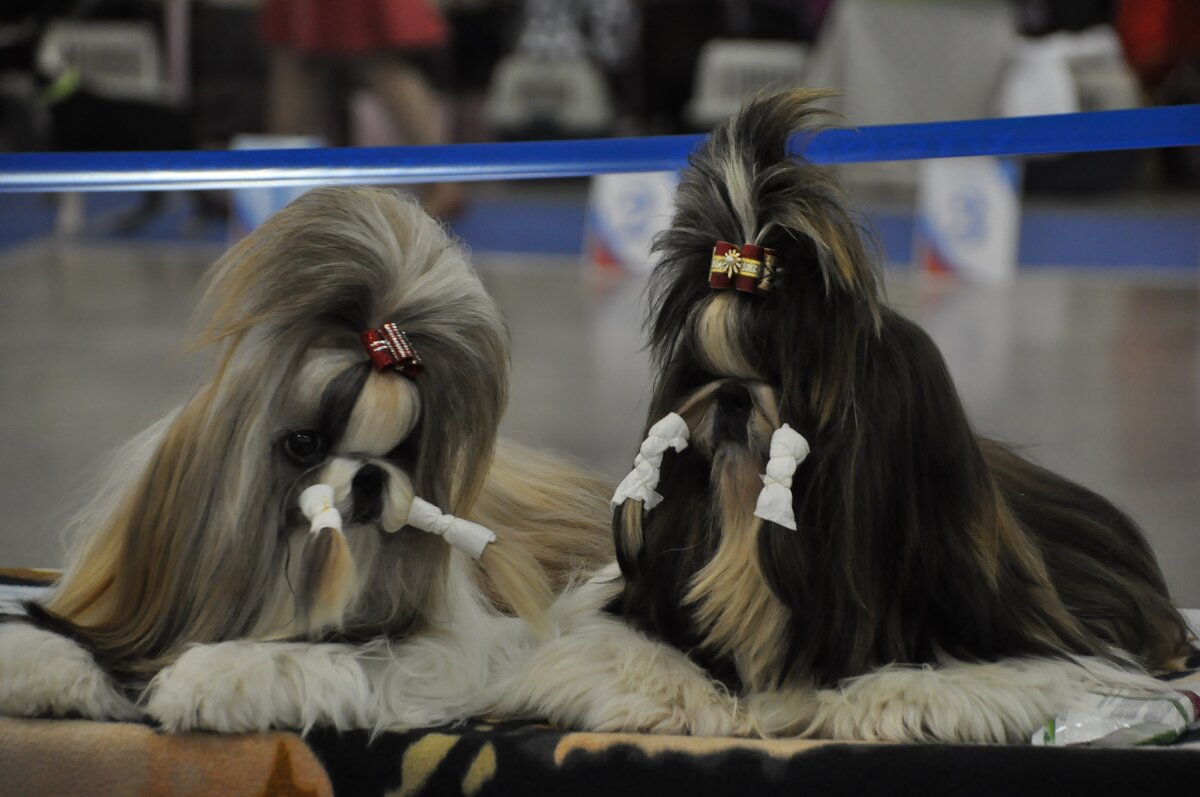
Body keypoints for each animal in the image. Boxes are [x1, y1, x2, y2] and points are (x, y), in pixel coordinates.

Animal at [0, 185, 614, 724]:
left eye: (402, 450)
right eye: (304, 443)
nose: (370, 477)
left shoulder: (443, 650)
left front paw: (209, 678)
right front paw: (45, 671)